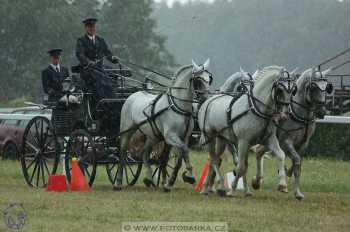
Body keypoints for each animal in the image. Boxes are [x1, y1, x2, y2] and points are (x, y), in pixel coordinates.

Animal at [115, 59, 211, 190]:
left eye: (209, 79)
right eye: (198, 80)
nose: (205, 98)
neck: (178, 107)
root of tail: (132, 95)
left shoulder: (184, 138)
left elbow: (177, 158)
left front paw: (169, 183)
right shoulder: (170, 136)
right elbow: (184, 150)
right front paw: (189, 177)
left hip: (153, 136)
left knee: (145, 153)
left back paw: (148, 179)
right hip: (127, 131)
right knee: (123, 153)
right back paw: (118, 182)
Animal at [198, 65, 296, 196]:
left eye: (293, 90)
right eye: (280, 89)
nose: (285, 114)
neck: (256, 109)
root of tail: (208, 101)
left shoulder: (268, 139)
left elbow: (280, 155)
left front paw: (282, 185)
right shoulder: (243, 141)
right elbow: (240, 167)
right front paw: (232, 189)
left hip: (221, 139)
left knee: (214, 159)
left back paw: (207, 188)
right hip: (209, 136)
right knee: (213, 160)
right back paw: (217, 187)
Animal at [253, 66, 332, 199]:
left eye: (327, 87)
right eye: (313, 87)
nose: (322, 111)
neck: (299, 115)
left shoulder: (304, 143)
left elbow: (298, 165)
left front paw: (297, 192)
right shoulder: (286, 142)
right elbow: (296, 160)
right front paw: (285, 179)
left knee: (259, 152)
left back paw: (257, 181)